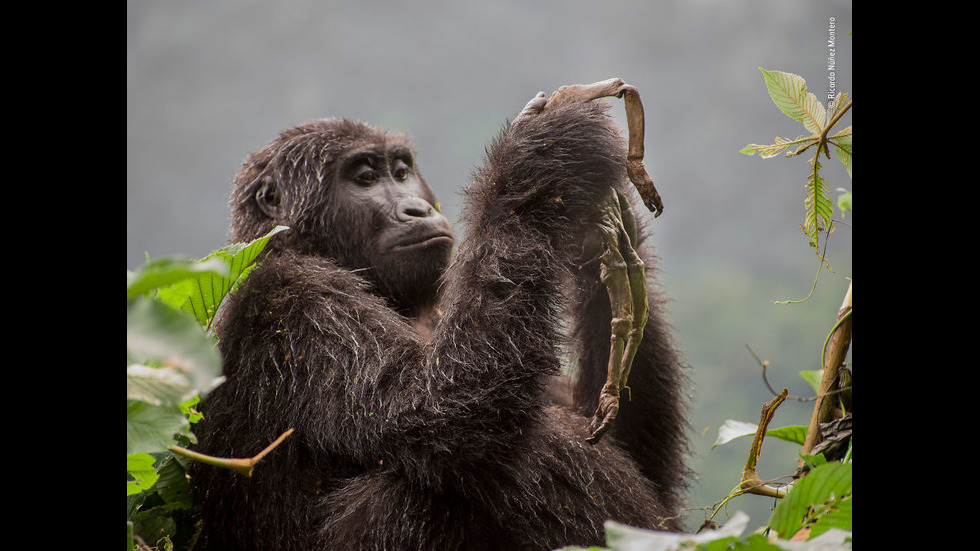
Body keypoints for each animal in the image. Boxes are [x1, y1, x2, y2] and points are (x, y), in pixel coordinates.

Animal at [191, 82, 688, 551]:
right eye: (364, 178)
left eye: (401, 173)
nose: (417, 208)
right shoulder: (294, 298)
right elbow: (434, 416)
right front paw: (543, 157)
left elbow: (626, 446)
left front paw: (595, 224)